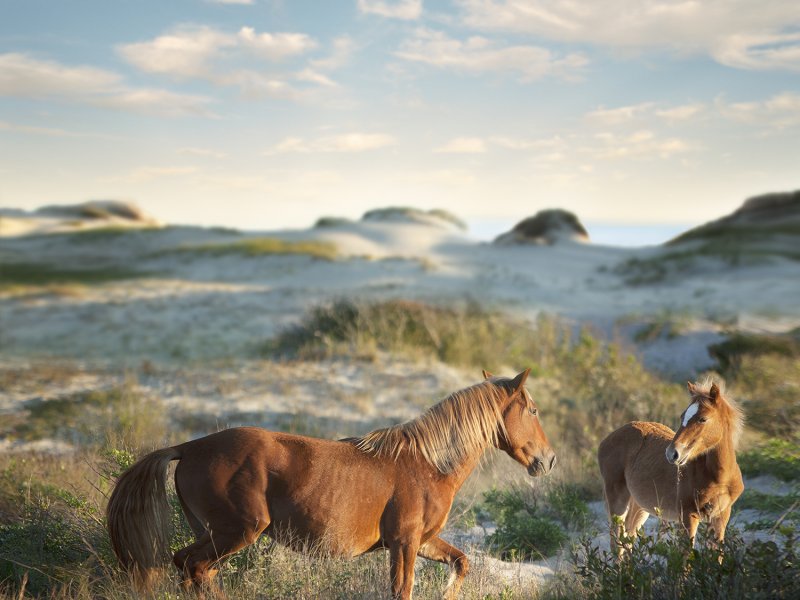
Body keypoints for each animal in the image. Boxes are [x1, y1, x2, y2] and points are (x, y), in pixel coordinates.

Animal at [106, 368, 556, 596]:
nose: (548, 460)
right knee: (192, 566)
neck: (427, 464)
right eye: (533, 410)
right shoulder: (404, 543)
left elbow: (461, 562)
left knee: (196, 572)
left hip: (215, 533)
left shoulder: (423, 542)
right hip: (236, 531)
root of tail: (190, 447)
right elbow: (402, 590)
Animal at [600, 382, 744, 556]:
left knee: (629, 538)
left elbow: (717, 555)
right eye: (682, 416)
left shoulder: (721, 516)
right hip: (617, 499)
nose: (672, 453)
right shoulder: (688, 515)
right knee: (617, 544)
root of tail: (606, 439)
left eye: (703, 419)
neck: (718, 478)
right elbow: (686, 557)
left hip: (639, 505)